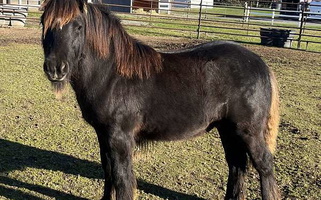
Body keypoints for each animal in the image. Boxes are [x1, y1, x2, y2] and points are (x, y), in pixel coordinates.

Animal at [40, 0, 280, 199]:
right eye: (44, 23)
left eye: (78, 26)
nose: (56, 69)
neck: (111, 75)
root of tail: (261, 64)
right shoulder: (103, 135)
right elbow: (109, 174)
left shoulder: (120, 138)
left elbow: (122, 180)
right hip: (228, 130)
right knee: (237, 166)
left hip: (248, 131)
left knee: (264, 166)